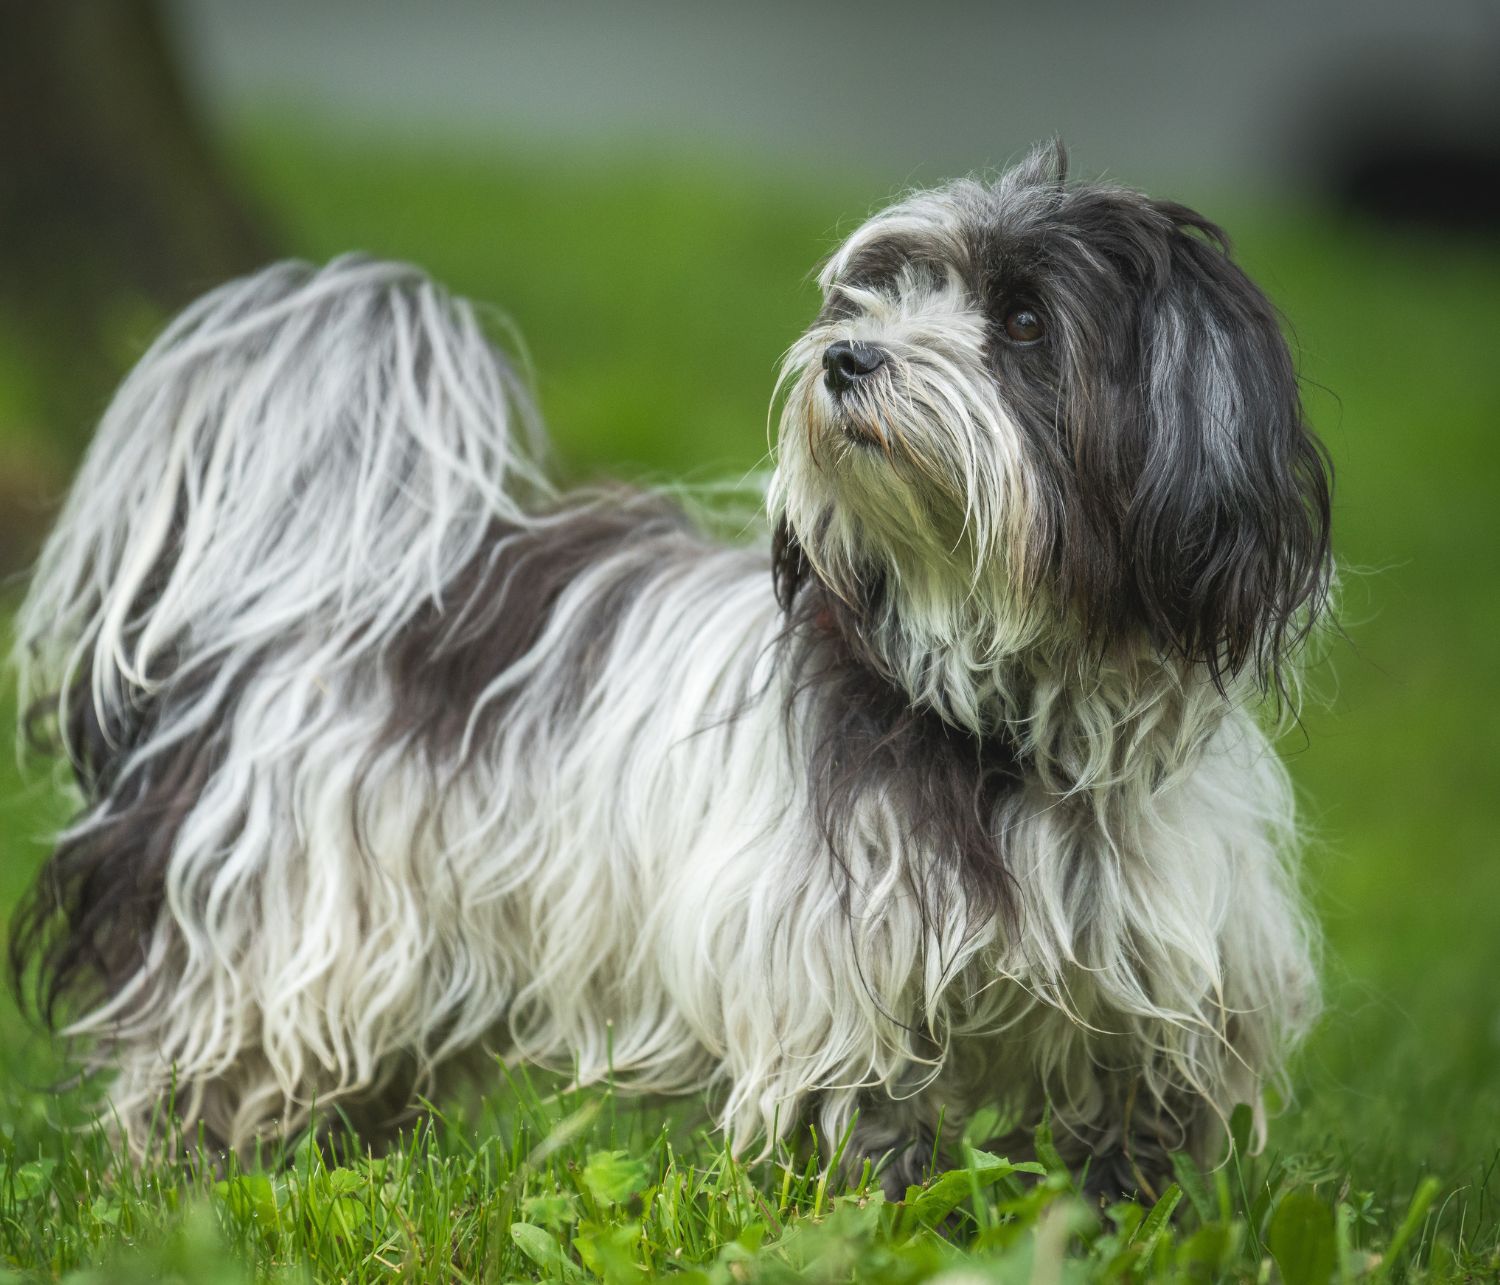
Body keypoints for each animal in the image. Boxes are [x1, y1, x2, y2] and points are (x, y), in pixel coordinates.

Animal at [8, 145, 1326, 1199]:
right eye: (883, 292)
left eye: (1024, 324)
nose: (847, 356)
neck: (1004, 709)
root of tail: (316, 581)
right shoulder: (835, 986)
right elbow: (872, 1141)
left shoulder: (1164, 992)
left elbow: (1127, 1147)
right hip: (294, 932)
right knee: (213, 1064)